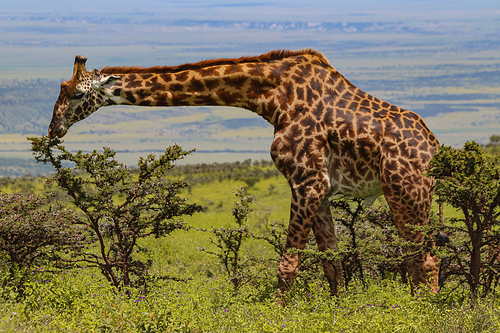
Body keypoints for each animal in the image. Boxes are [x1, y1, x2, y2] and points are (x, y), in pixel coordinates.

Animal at [48, 48, 442, 298]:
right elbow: (332, 263)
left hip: (406, 191)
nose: (54, 130)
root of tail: (434, 146)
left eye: (75, 94)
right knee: (413, 259)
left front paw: (279, 316)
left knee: (427, 260)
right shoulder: (322, 189)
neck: (272, 96)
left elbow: (287, 265)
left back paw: (427, 311)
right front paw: (340, 311)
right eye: (62, 91)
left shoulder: (307, 181)